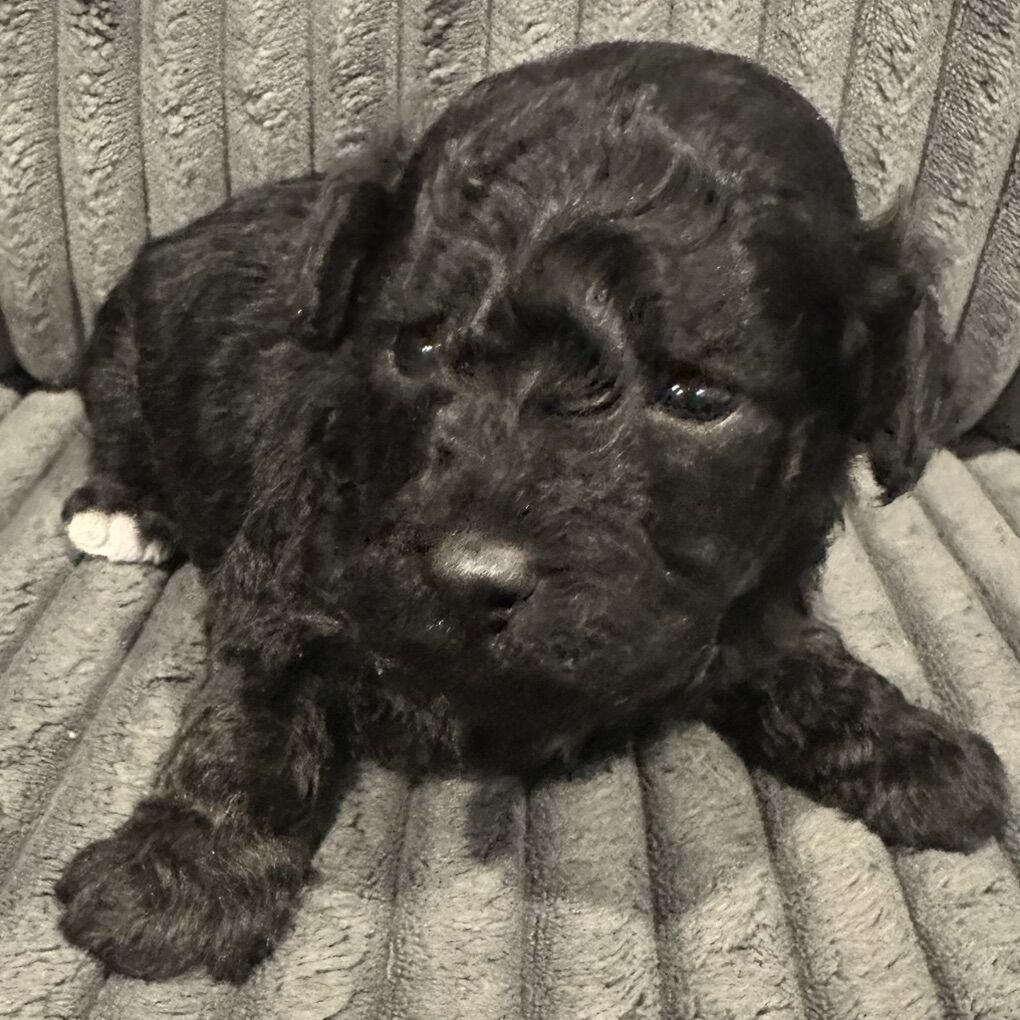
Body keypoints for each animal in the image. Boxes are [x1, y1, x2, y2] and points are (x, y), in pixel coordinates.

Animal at [55, 40, 1007, 982]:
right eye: (418, 345)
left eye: (698, 396)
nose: (470, 580)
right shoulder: (292, 562)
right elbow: (252, 709)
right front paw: (182, 876)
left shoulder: (748, 585)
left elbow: (793, 653)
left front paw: (913, 746)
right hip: (124, 351)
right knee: (121, 430)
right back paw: (120, 511)